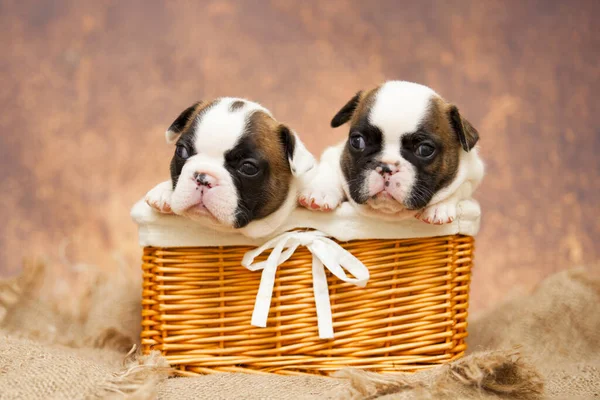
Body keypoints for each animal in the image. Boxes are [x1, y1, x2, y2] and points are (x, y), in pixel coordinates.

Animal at [298, 81, 486, 225]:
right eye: (357, 141)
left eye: (425, 150)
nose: (386, 167)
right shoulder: (334, 155)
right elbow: (330, 171)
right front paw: (320, 192)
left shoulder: (472, 172)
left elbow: (461, 188)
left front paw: (439, 207)